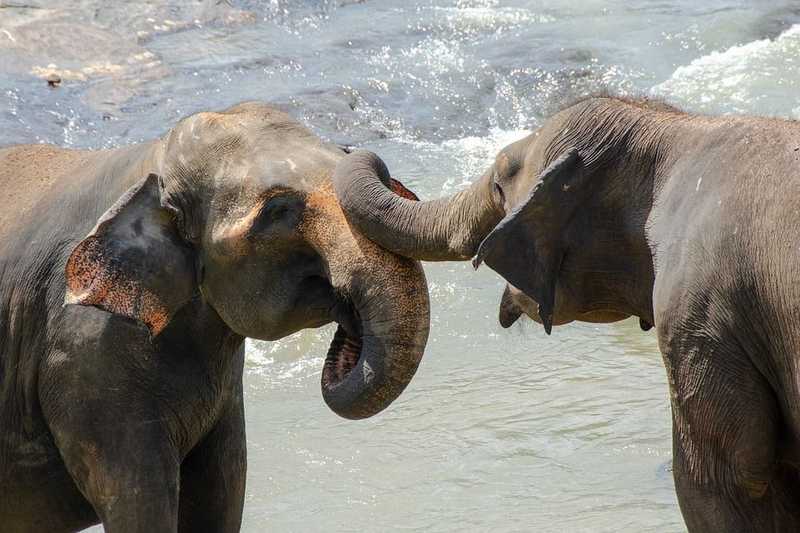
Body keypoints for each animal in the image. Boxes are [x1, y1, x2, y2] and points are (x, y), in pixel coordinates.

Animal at [0, 101, 432, 532]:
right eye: (277, 210)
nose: (363, 155)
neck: (152, 163)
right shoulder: (85, 355)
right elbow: (140, 503)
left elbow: (222, 490)